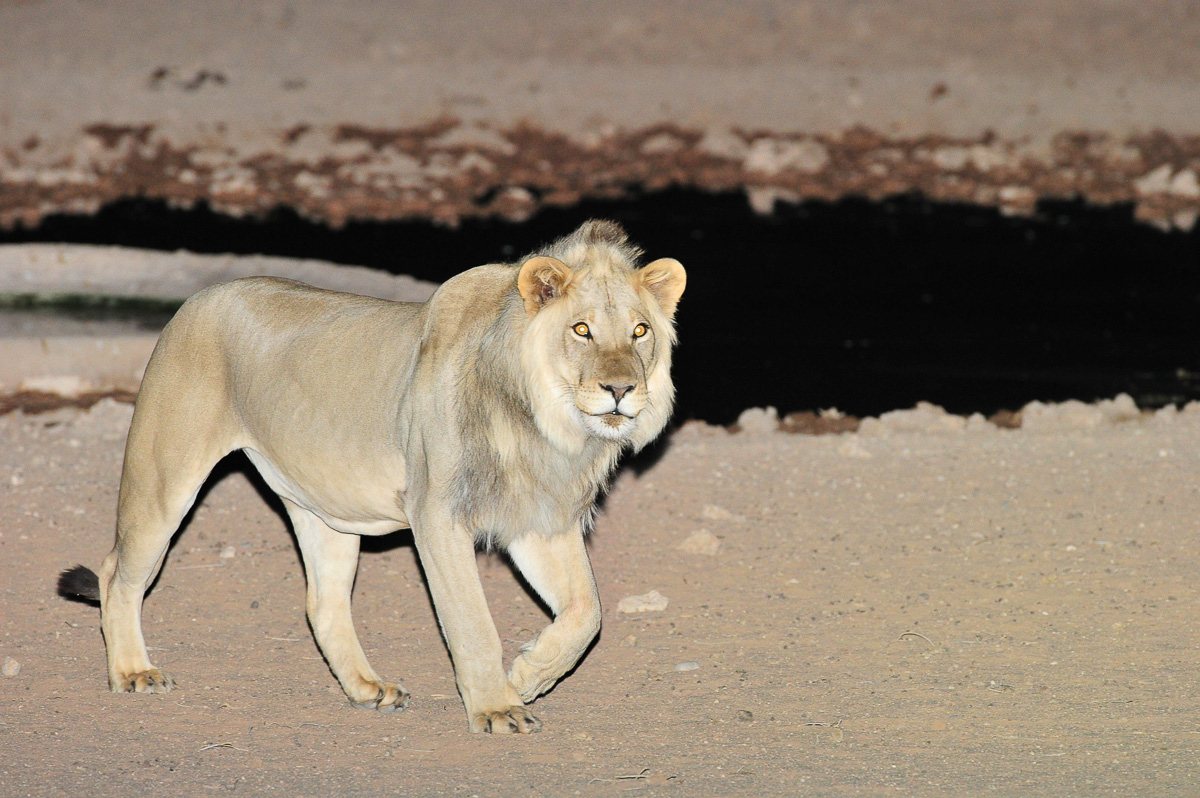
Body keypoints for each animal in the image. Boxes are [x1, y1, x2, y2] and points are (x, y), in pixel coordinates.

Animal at [57, 219, 685, 734]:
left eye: (638, 332)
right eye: (581, 330)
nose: (621, 390)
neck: (551, 430)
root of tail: (197, 298)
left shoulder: (539, 521)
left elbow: (586, 613)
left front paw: (528, 674)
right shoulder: (438, 515)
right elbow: (472, 621)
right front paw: (496, 706)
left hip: (324, 512)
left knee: (322, 603)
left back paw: (367, 688)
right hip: (164, 480)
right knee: (116, 572)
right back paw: (132, 671)